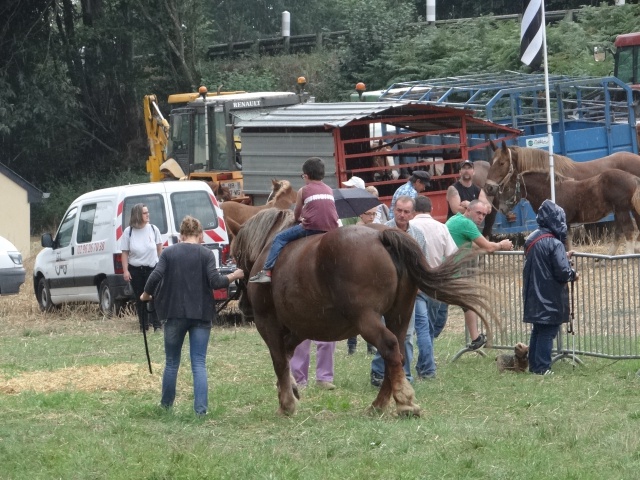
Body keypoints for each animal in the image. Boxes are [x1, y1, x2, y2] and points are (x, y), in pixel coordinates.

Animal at [231, 209, 496, 416]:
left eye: (236, 254)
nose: (243, 306)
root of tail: (381, 235)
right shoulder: (299, 328)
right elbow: (286, 358)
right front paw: (291, 390)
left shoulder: (269, 324)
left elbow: (278, 360)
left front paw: (286, 404)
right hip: (400, 315)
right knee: (398, 352)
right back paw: (381, 403)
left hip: (366, 318)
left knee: (388, 346)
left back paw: (403, 402)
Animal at [498, 170, 640, 255]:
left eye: (508, 187)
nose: (501, 208)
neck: (551, 191)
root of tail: (633, 178)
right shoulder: (568, 224)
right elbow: (568, 241)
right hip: (624, 211)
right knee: (620, 232)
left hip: (622, 211)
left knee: (628, 230)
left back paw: (627, 255)